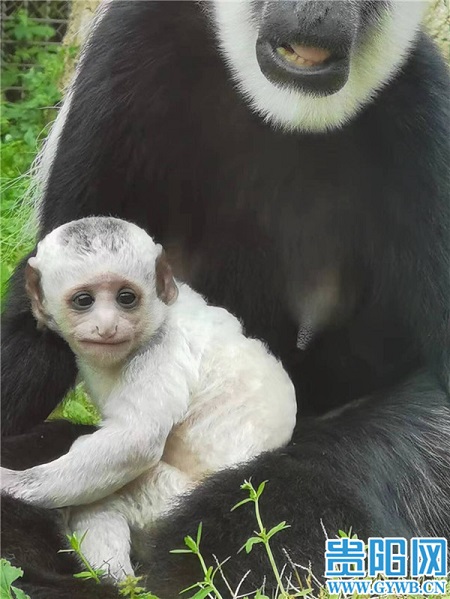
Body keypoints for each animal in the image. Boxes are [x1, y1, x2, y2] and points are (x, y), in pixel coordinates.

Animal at [1, 218, 298, 584]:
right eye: (84, 301)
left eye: (125, 298)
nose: (107, 326)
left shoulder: (159, 350)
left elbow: (137, 441)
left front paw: (9, 484)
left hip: (172, 500)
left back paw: (117, 579)